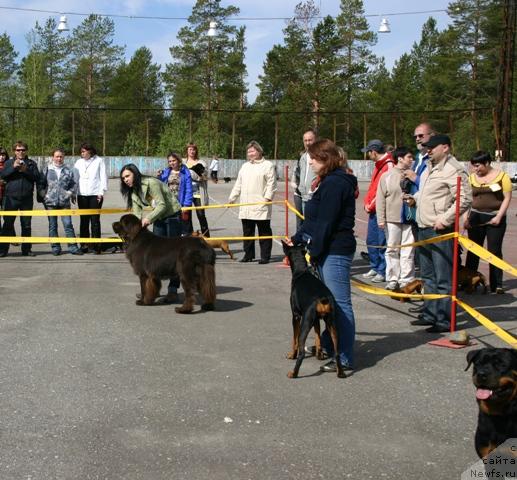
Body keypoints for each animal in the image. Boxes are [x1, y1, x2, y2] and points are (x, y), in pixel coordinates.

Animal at [280, 244, 344, 378]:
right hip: (332, 323)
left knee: (301, 351)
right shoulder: (316, 320)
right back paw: (341, 373)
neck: (301, 271)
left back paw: (293, 373)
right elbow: (318, 335)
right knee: (337, 352)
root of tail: (322, 298)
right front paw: (319, 354)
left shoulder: (296, 316)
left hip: (305, 322)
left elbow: (294, 339)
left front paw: (292, 355)